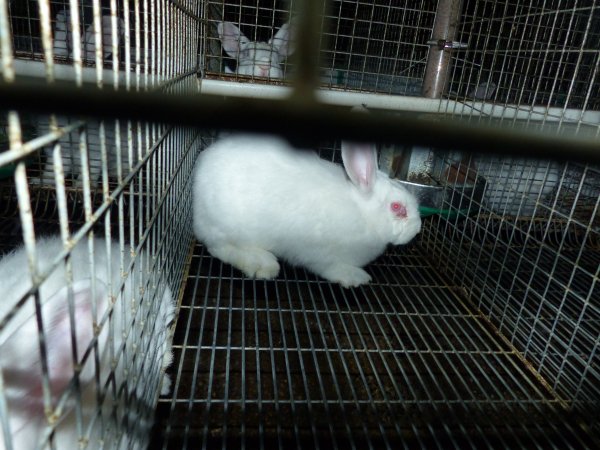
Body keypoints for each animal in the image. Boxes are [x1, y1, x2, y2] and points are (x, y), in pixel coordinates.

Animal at [192, 134, 422, 288]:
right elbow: (330, 268)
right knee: (220, 248)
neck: (364, 214)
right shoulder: (320, 255)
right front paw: (356, 277)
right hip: (227, 228)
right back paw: (262, 264)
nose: (417, 229)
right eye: (397, 207)